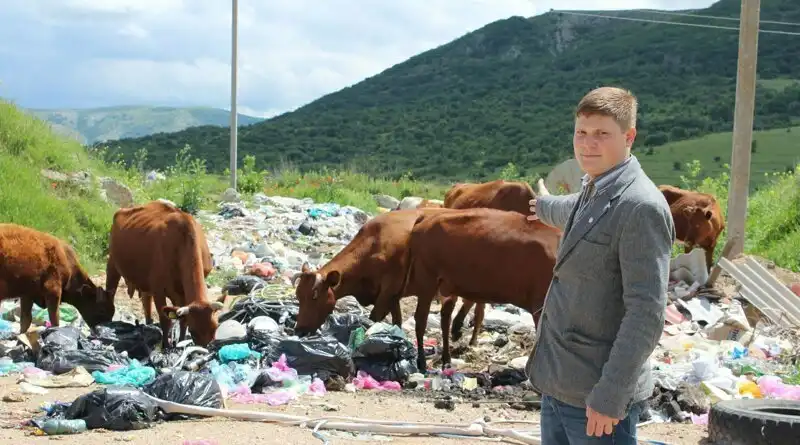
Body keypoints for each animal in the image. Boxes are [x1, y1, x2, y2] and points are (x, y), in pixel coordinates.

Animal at [104, 201, 224, 348]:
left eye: (215, 328)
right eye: (193, 331)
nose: (207, 348)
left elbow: (182, 320)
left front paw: (181, 341)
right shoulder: (158, 290)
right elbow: (165, 320)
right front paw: (166, 345)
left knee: (146, 299)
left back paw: (149, 322)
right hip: (112, 263)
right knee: (110, 291)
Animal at [293, 207, 450, 336]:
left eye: (315, 297)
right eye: (298, 296)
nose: (299, 330)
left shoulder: (388, 291)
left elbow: (374, 318)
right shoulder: (394, 296)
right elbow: (397, 322)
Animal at [397, 208, 561, 371]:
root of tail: (427, 218)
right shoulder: (540, 305)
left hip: (446, 284)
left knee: (445, 318)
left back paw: (446, 358)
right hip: (427, 280)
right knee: (421, 320)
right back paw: (422, 362)